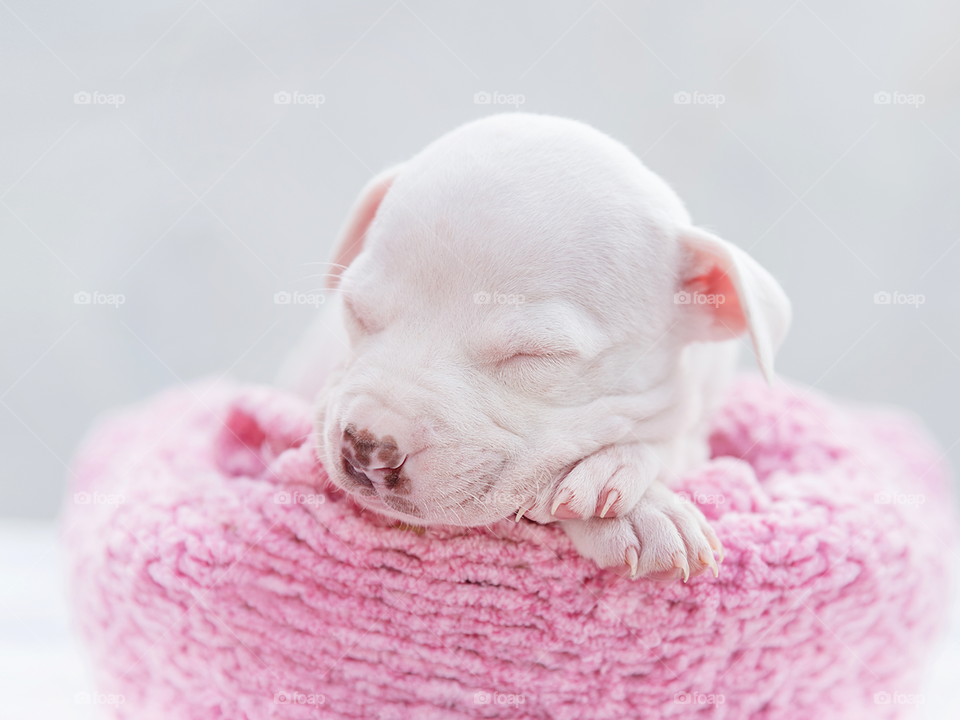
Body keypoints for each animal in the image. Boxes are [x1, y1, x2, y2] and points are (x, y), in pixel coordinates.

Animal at [278, 114, 788, 584]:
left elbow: (668, 439)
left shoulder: (700, 420)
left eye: (535, 355)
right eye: (357, 312)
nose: (366, 447)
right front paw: (644, 513)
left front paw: (621, 477)